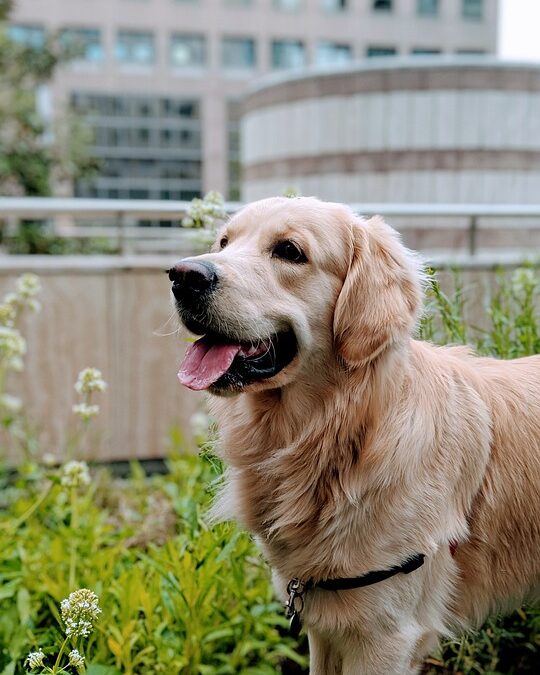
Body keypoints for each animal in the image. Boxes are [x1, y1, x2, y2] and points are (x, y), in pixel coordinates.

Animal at [169, 197, 540, 675]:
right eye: (223, 242)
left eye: (289, 251)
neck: (344, 434)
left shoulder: (385, 635)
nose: (182, 276)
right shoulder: (323, 616)